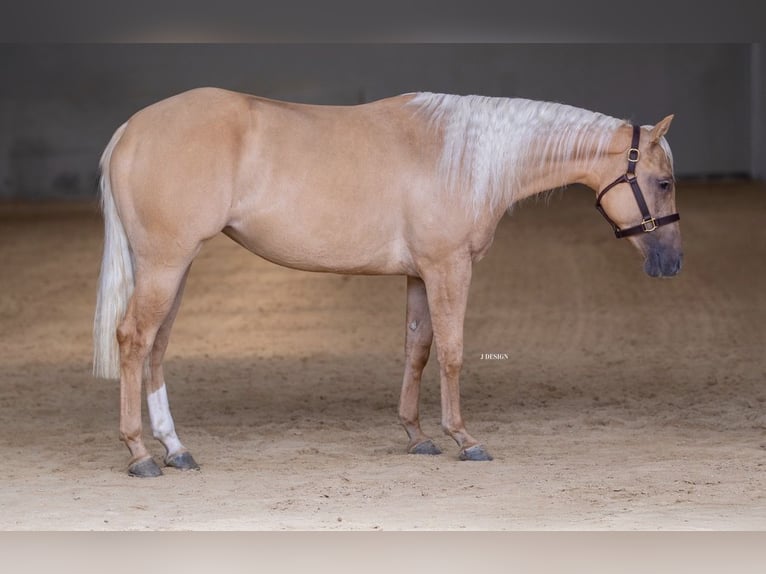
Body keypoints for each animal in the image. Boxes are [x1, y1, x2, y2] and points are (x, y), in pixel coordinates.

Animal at [92, 88, 682, 477]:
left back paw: (175, 449)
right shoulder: (449, 267)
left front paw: (417, 436)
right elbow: (452, 352)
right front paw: (464, 438)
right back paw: (140, 454)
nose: (671, 263)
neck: (462, 157)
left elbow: (417, 351)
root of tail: (132, 130)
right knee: (134, 340)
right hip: (165, 265)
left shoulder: (421, 275)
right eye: (663, 182)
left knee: (157, 347)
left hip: (174, 267)